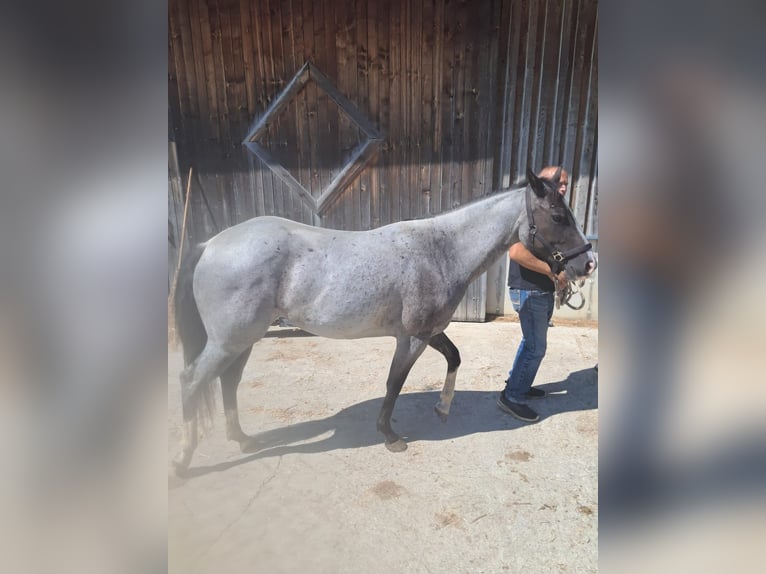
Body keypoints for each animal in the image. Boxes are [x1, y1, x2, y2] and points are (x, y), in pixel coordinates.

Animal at [172, 167, 596, 472]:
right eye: (558, 215)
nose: (586, 264)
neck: (441, 249)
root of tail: (210, 244)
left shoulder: (429, 332)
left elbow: (454, 358)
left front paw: (443, 409)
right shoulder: (412, 338)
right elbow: (394, 383)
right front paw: (390, 437)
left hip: (242, 340)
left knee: (228, 382)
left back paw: (242, 439)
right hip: (228, 341)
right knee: (191, 382)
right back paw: (182, 463)